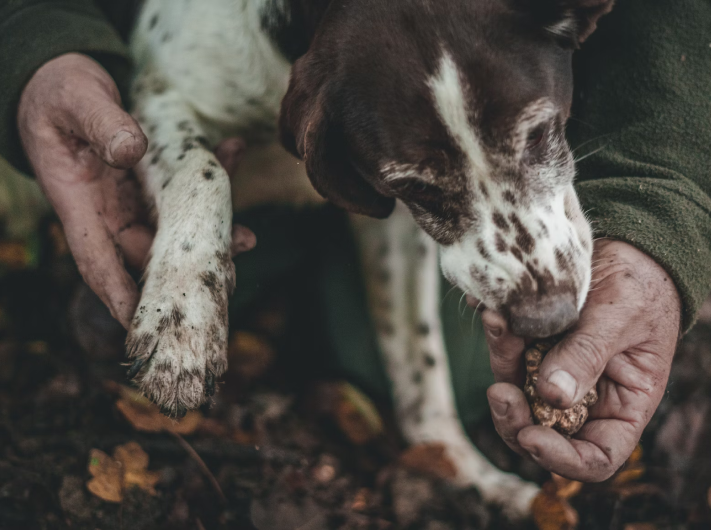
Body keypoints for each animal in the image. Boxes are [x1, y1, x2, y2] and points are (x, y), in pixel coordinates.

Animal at [129, 0, 616, 516]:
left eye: (539, 133)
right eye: (415, 186)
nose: (547, 318)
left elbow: (420, 364)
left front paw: (463, 470)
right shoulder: (158, 96)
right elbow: (202, 169)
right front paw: (182, 320)